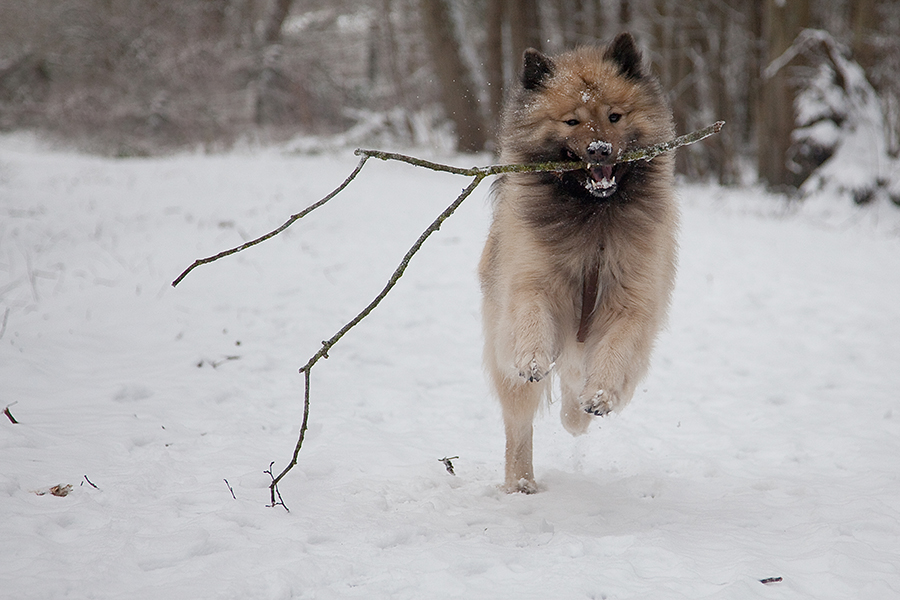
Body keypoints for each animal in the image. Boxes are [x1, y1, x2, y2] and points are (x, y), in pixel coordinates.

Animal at [478, 32, 676, 492]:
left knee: (572, 388)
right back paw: (521, 484)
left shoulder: (632, 303)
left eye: (614, 116)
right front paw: (533, 358)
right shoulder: (532, 282)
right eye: (572, 121)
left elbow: (616, 350)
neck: (594, 220)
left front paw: (600, 395)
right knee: (519, 427)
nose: (599, 149)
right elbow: (532, 317)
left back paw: (577, 415)